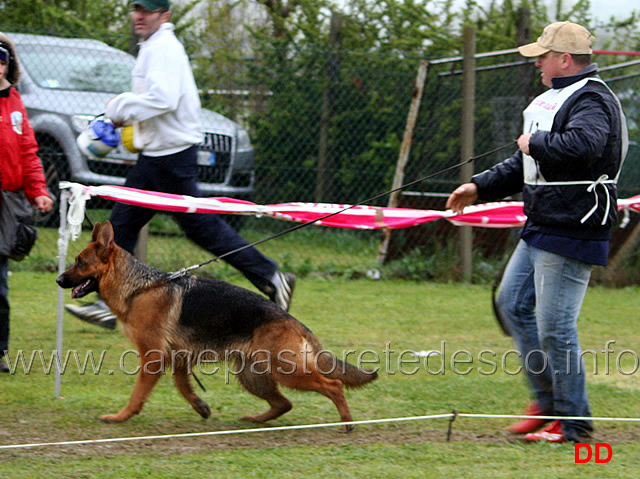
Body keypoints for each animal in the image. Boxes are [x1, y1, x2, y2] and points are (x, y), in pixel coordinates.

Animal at [57, 222, 378, 432]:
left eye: (80, 262)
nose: (59, 280)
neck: (139, 287)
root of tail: (295, 322)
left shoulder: (153, 358)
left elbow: (138, 395)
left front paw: (121, 416)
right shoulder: (179, 358)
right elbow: (183, 387)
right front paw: (200, 405)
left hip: (286, 371)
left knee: (333, 385)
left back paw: (347, 422)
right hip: (253, 375)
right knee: (284, 403)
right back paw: (255, 421)